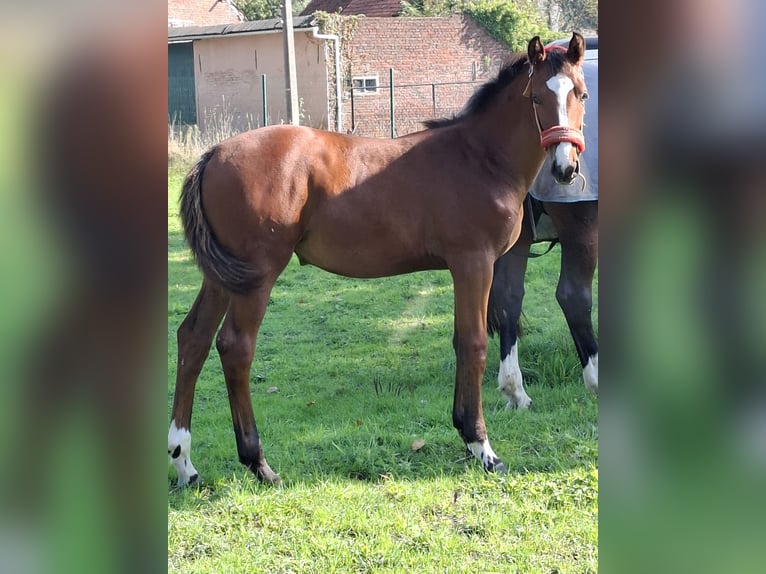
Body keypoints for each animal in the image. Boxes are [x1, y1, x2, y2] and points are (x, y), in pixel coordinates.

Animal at [488, 51, 598, 409]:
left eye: (581, 95)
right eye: (536, 98)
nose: (564, 167)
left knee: (509, 296)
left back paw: (515, 390)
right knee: (573, 295)